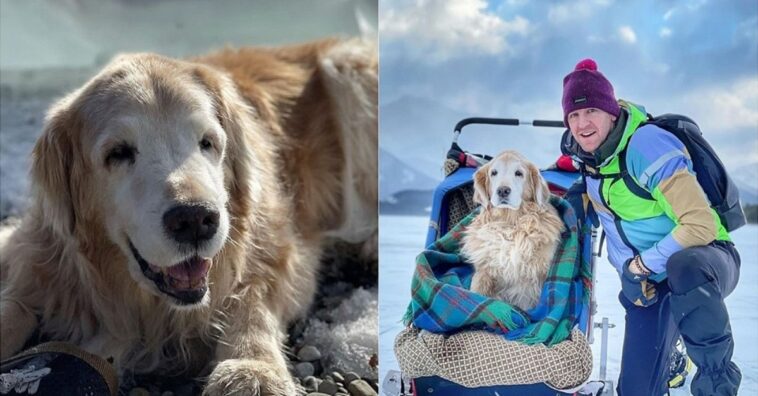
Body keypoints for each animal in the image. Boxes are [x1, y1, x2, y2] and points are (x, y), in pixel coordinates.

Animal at [0, 38, 378, 396]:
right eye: (118, 153)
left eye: (207, 142)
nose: (195, 220)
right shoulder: (37, 255)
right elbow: (15, 302)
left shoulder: (281, 250)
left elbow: (252, 300)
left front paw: (252, 370)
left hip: (346, 67)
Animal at [464, 150, 564, 310]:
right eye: (494, 173)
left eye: (519, 173)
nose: (503, 191)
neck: (509, 224)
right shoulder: (484, 271)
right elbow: (477, 288)